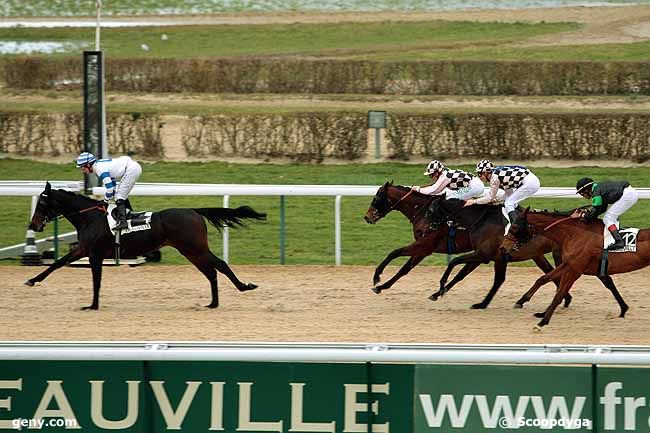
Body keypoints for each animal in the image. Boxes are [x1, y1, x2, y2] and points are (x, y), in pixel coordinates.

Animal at [25, 181, 264, 308]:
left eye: (43, 202)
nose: (33, 224)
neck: (90, 217)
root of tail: (194, 211)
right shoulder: (89, 251)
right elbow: (65, 266)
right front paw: (32, 280)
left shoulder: (89, 251)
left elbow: (72, 269)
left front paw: (92, 305)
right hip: (190, 251)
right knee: (210, 271)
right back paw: (213, 303)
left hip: (194, 248)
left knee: (220, 265)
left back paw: (244, 287)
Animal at [362, 181, 568, 308]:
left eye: (376, 198)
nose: (367, 217)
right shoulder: (426, 247)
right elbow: (405, 266)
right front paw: (382, 285)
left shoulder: (425, 245)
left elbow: (397, 255)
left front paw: (378, 280)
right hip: (529, 254)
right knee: (545, 272)